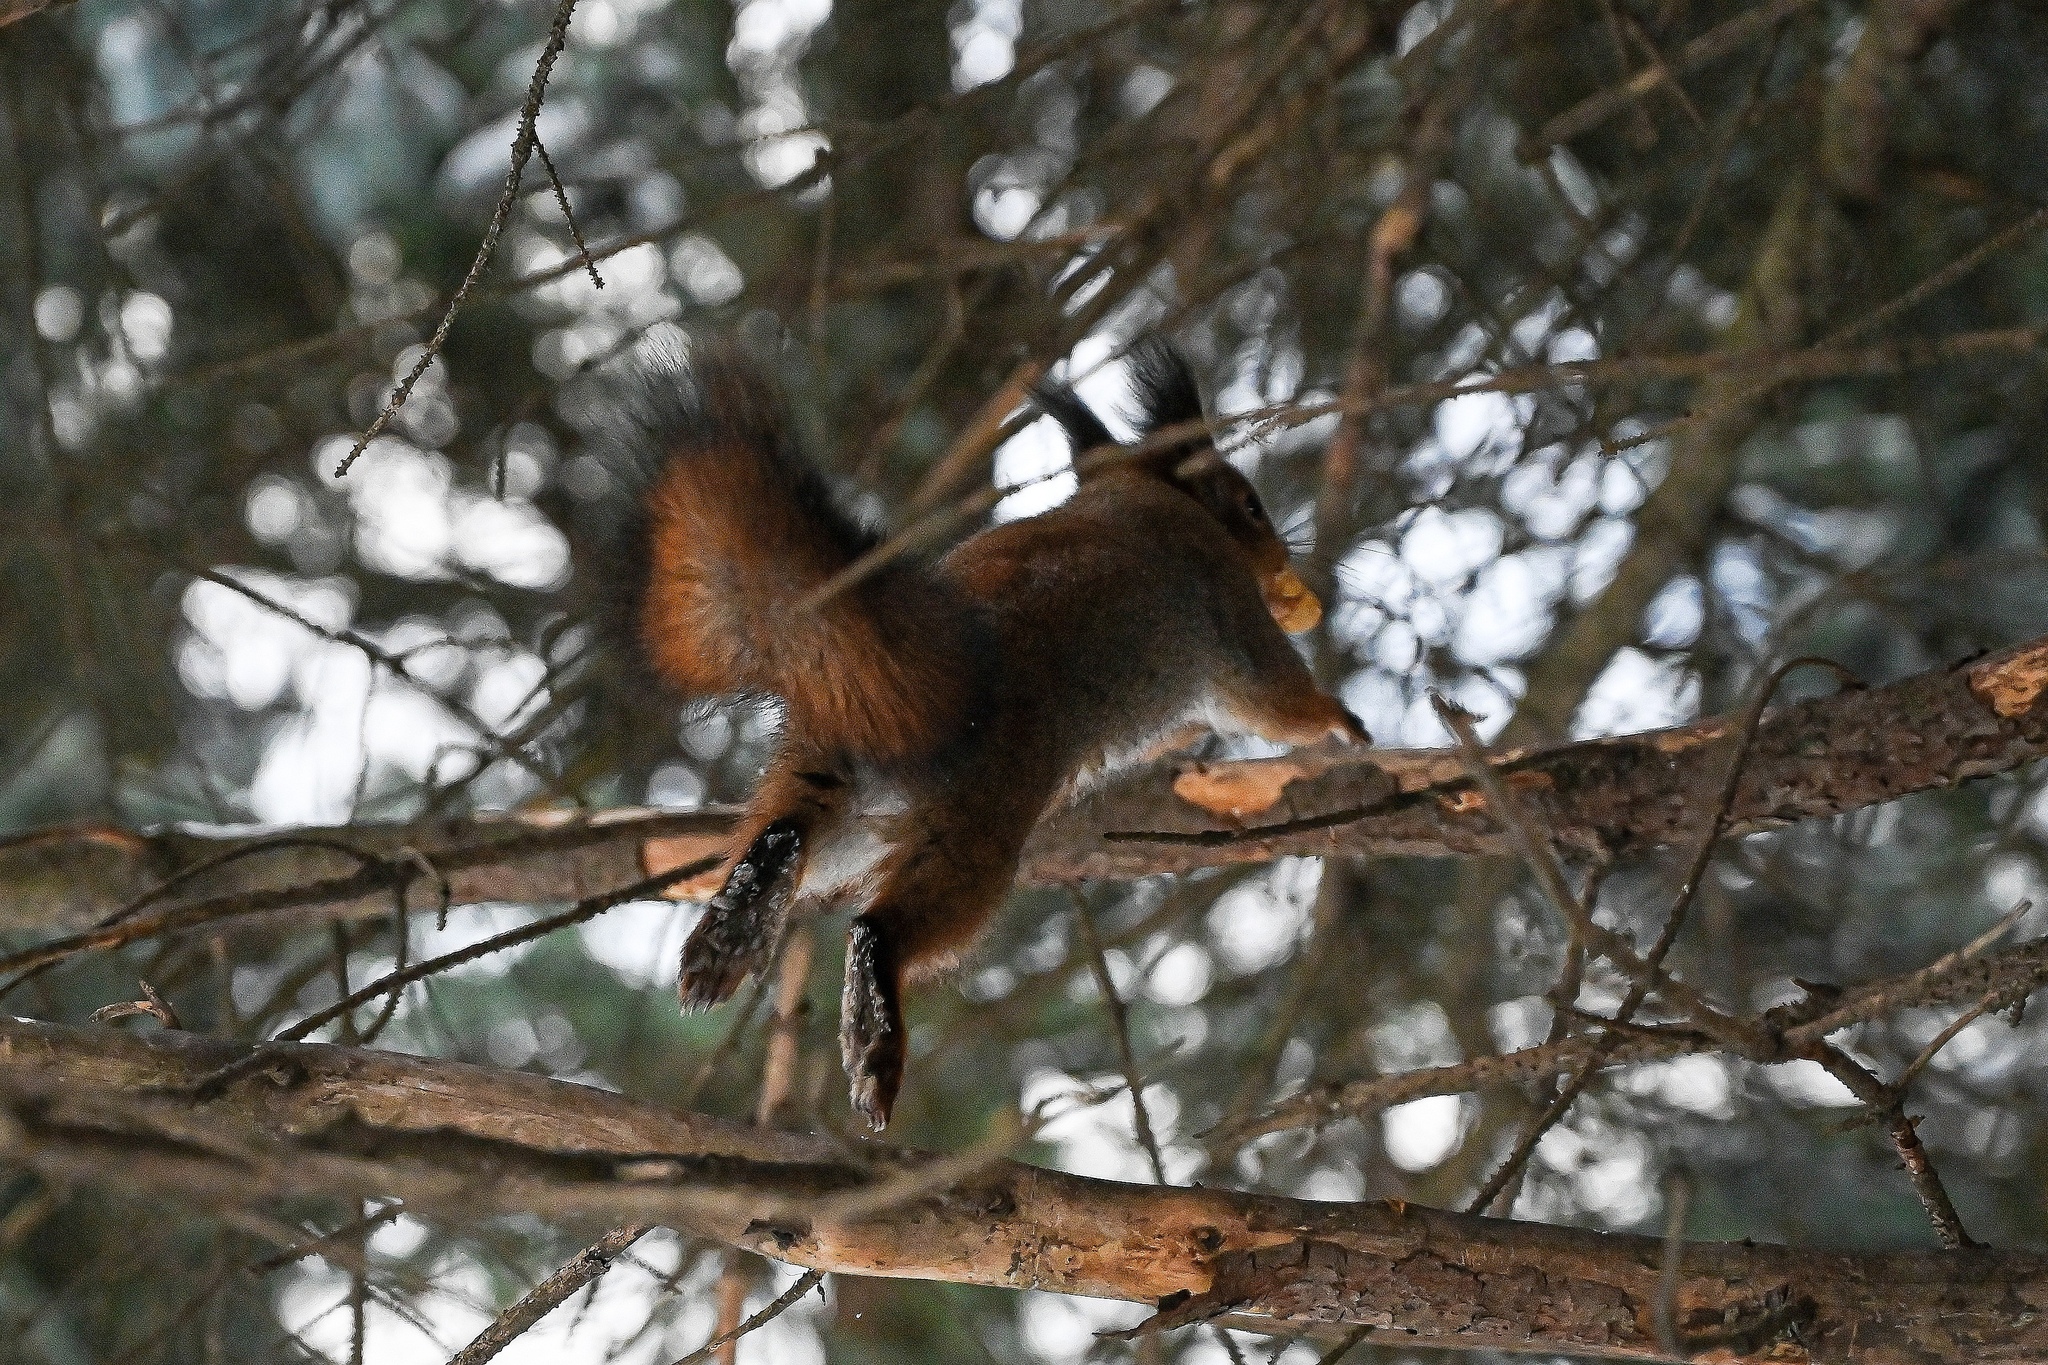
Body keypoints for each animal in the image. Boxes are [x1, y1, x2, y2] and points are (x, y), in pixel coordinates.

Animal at [598, 339, 1368, 1129]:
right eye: (1248, 503)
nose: (1288, 559)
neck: (1143, 493)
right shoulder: (1233, 623)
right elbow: (1278, 702)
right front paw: (1344, 724)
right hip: (981, 821)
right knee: (886, 926)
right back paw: (874, 1024)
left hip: (829, 776)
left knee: (786, 832)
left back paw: (735, 925)